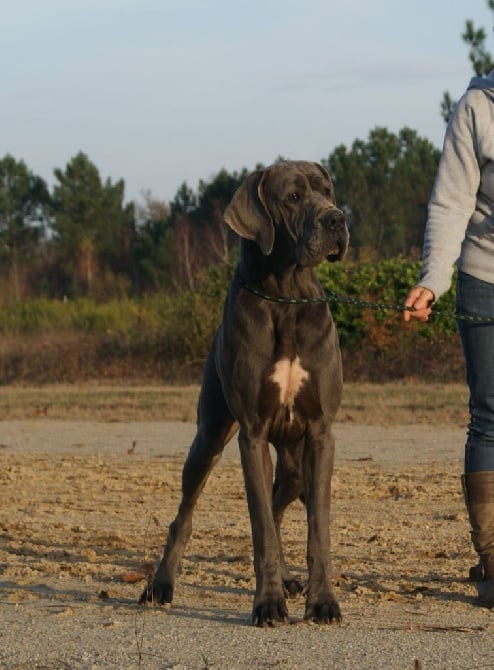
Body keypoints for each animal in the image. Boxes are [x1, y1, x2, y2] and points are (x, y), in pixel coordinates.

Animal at [142, 160, 352, 628]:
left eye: (328, 190)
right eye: (292, 197)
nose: (337, 219)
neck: (286, 296)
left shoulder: (321, 433)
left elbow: (318, 528)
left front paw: (322, 602)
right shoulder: (251, 434)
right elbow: (261, 531)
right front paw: (268, 604)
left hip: (294, 466)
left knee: (277, 507)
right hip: (207, 440)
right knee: (184, 516)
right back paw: (160, 585)